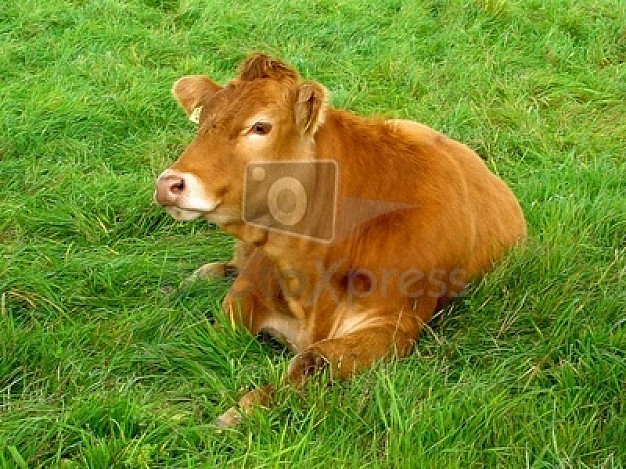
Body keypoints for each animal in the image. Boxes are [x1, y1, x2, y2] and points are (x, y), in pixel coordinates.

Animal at [154, 53, 524, 426]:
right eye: (202, 122)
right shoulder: (249, 286)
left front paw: (242, 411)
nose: (168, 184)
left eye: (260, 126)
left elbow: (312, 361)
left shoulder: (394, 324)